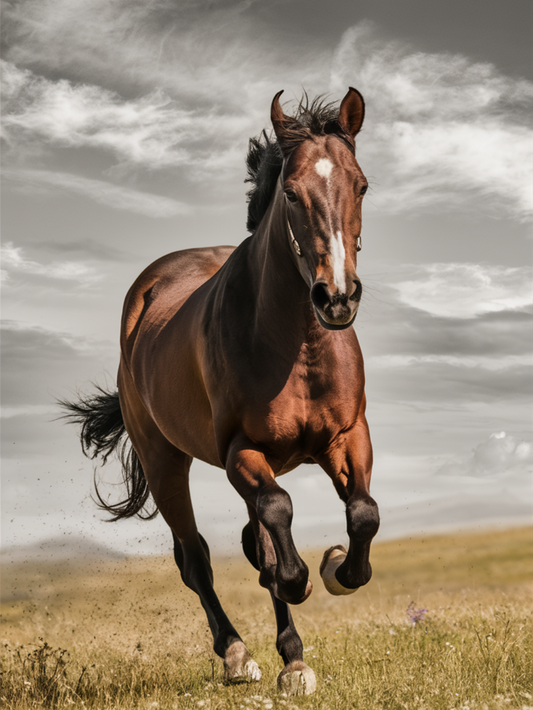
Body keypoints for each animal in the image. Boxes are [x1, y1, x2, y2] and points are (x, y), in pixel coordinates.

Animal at [62, 87, 380, 696]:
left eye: (361, 184)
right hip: (164, 462)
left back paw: (292, 658)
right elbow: (278, 529)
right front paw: (302, 580)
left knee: (256, 538)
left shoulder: (347, 437)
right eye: (291, 193)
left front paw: (336, 568)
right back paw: (238, 655)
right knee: (197, 559)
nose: (336, 297)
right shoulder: (241, 452)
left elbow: (362, 515)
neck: (296, 345)